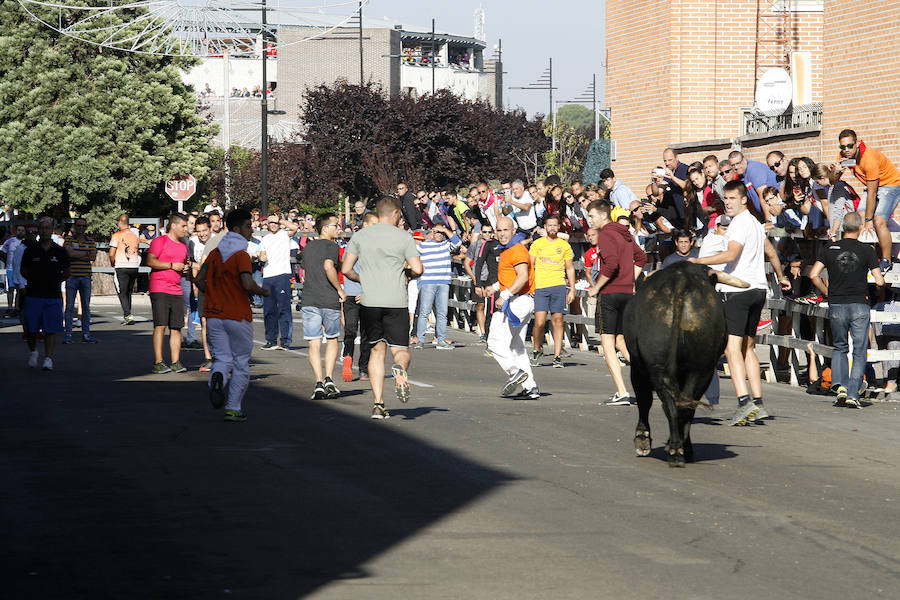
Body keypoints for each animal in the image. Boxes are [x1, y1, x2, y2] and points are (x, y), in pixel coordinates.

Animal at [620, 262, 740, 468]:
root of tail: (682, 279)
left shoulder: (637, 365)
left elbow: (644, 399)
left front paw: (642, 439)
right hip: (701, 368)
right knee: (686, 404)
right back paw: (681, 449)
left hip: (658, 367)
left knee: (668, 403)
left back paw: (675, 450)